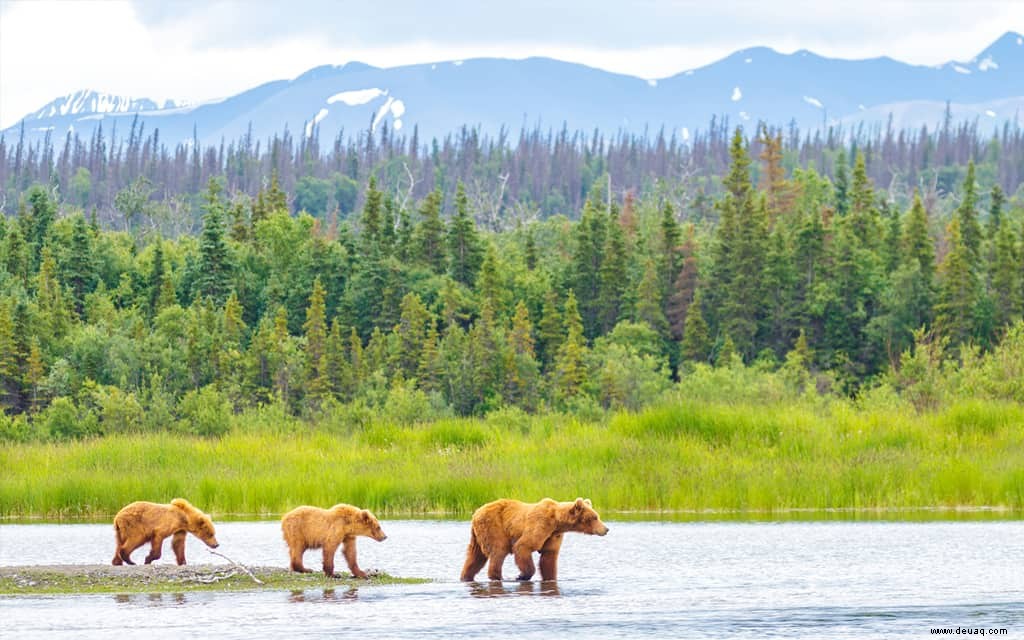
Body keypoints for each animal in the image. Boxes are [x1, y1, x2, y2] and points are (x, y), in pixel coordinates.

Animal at [462, 497, 606, 581]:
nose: (606, 529)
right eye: (594, 517)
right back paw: (497, 576)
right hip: (494, 527)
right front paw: (522, 576)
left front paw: (550, 577)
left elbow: (549, 558)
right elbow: (523, 546)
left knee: (475, 556)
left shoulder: (553, 535)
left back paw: (466, 576)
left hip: (477, 535)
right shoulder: (540, 525)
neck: (557, 522)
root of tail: (476, 513)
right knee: (498, 550)